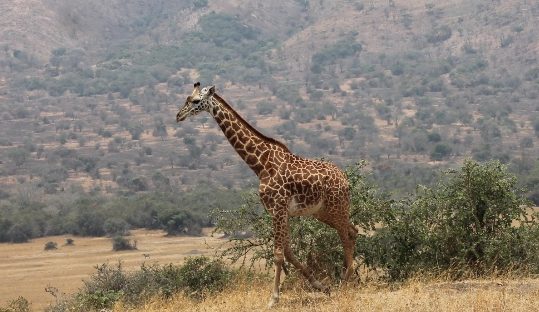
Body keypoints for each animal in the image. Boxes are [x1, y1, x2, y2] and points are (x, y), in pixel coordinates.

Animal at [175, 83, 356, 308]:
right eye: (186, 99)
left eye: (196, 101)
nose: (179, 115)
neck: (260, 165)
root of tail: (345, 179)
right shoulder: (276, 211)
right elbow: (287, 251)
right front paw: (321, 286)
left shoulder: (278, 208)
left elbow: (278, 254)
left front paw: (273, 298)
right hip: (323, 212)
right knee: (353, 231)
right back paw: (349, 278)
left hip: (336, 207)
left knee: (346, 237)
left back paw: (346, 282)